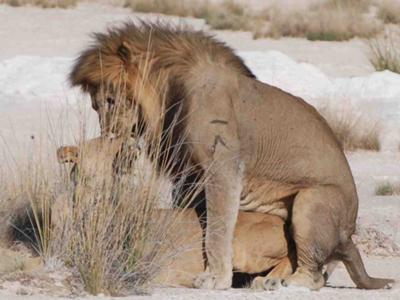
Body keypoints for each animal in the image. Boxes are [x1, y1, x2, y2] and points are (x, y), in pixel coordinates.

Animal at [69, 22, 394, 290]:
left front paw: (215, 278)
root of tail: (349, 236)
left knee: (315, 276)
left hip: (311, 201)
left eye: (111, 100)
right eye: (96, 106)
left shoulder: (222, 166)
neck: (169, 94)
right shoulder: (189, 175)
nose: (109, 136)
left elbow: (218, 227)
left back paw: (283, 283)